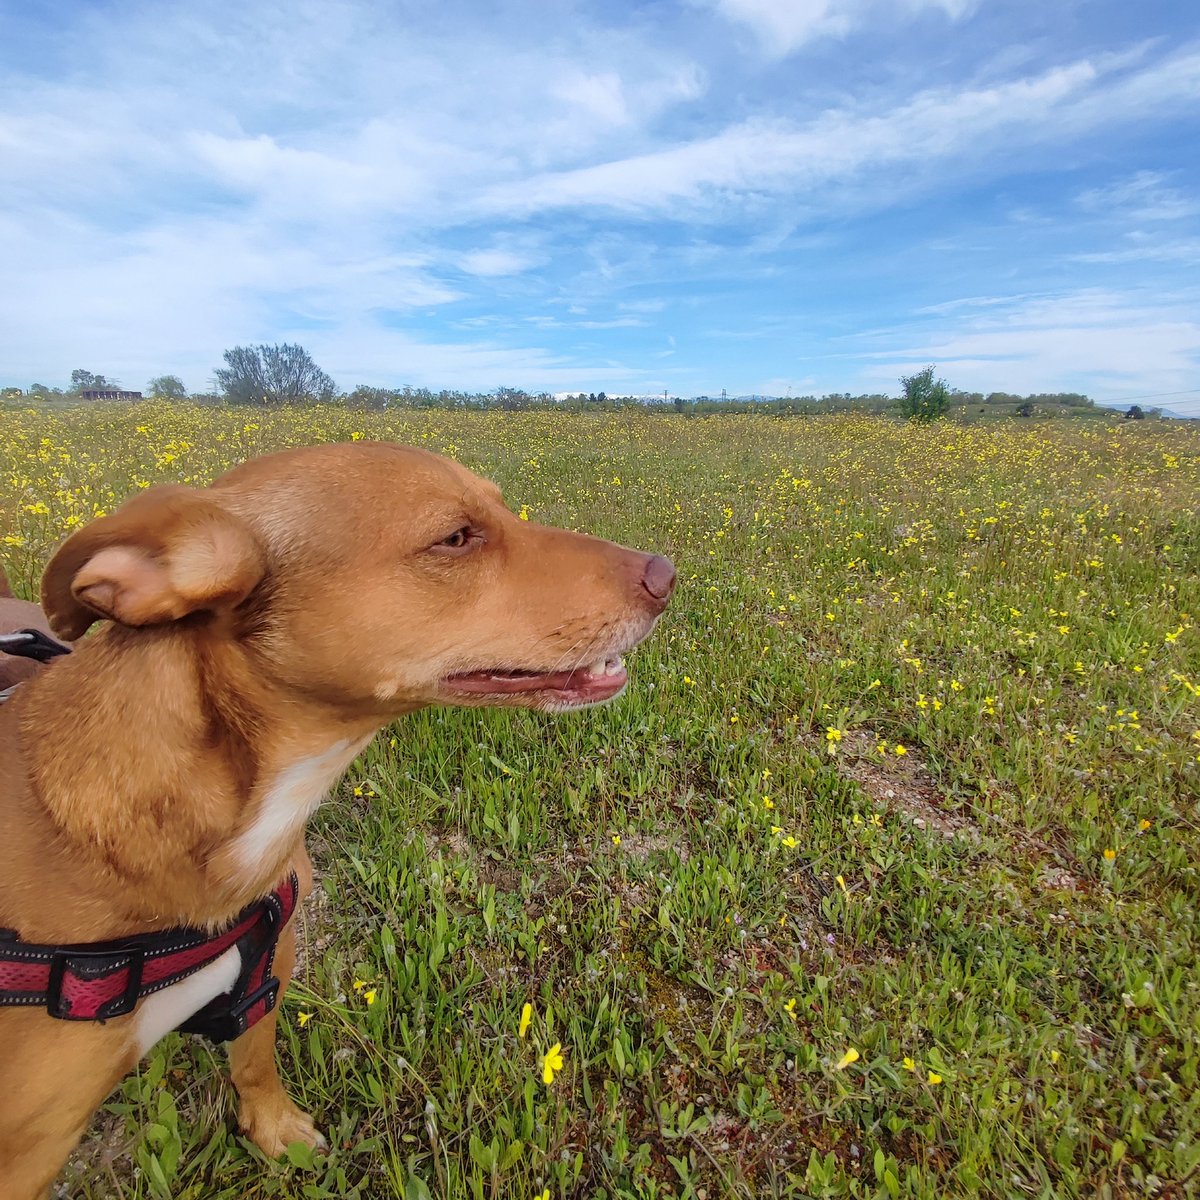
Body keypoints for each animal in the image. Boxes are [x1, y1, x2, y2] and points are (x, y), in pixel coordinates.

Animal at [0, 444, 676, 1200]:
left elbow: (255, 1063)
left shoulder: (270, 967)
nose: (667, 576)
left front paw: (276, 1133)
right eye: (456, 537)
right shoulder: (26, 1152)